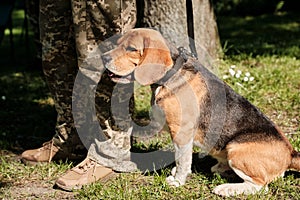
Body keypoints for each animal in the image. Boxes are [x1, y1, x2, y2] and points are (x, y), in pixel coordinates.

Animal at [101, 28, 300, 197]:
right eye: (118, 43)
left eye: (132, 49)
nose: (103, 57)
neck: (172, 74)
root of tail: (290, 153)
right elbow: (180, 157)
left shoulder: (181, 132)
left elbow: (182, 160)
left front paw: (177, 181)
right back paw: (221, 168)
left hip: (236, 148)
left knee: (260, 186)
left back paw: (227, 189)